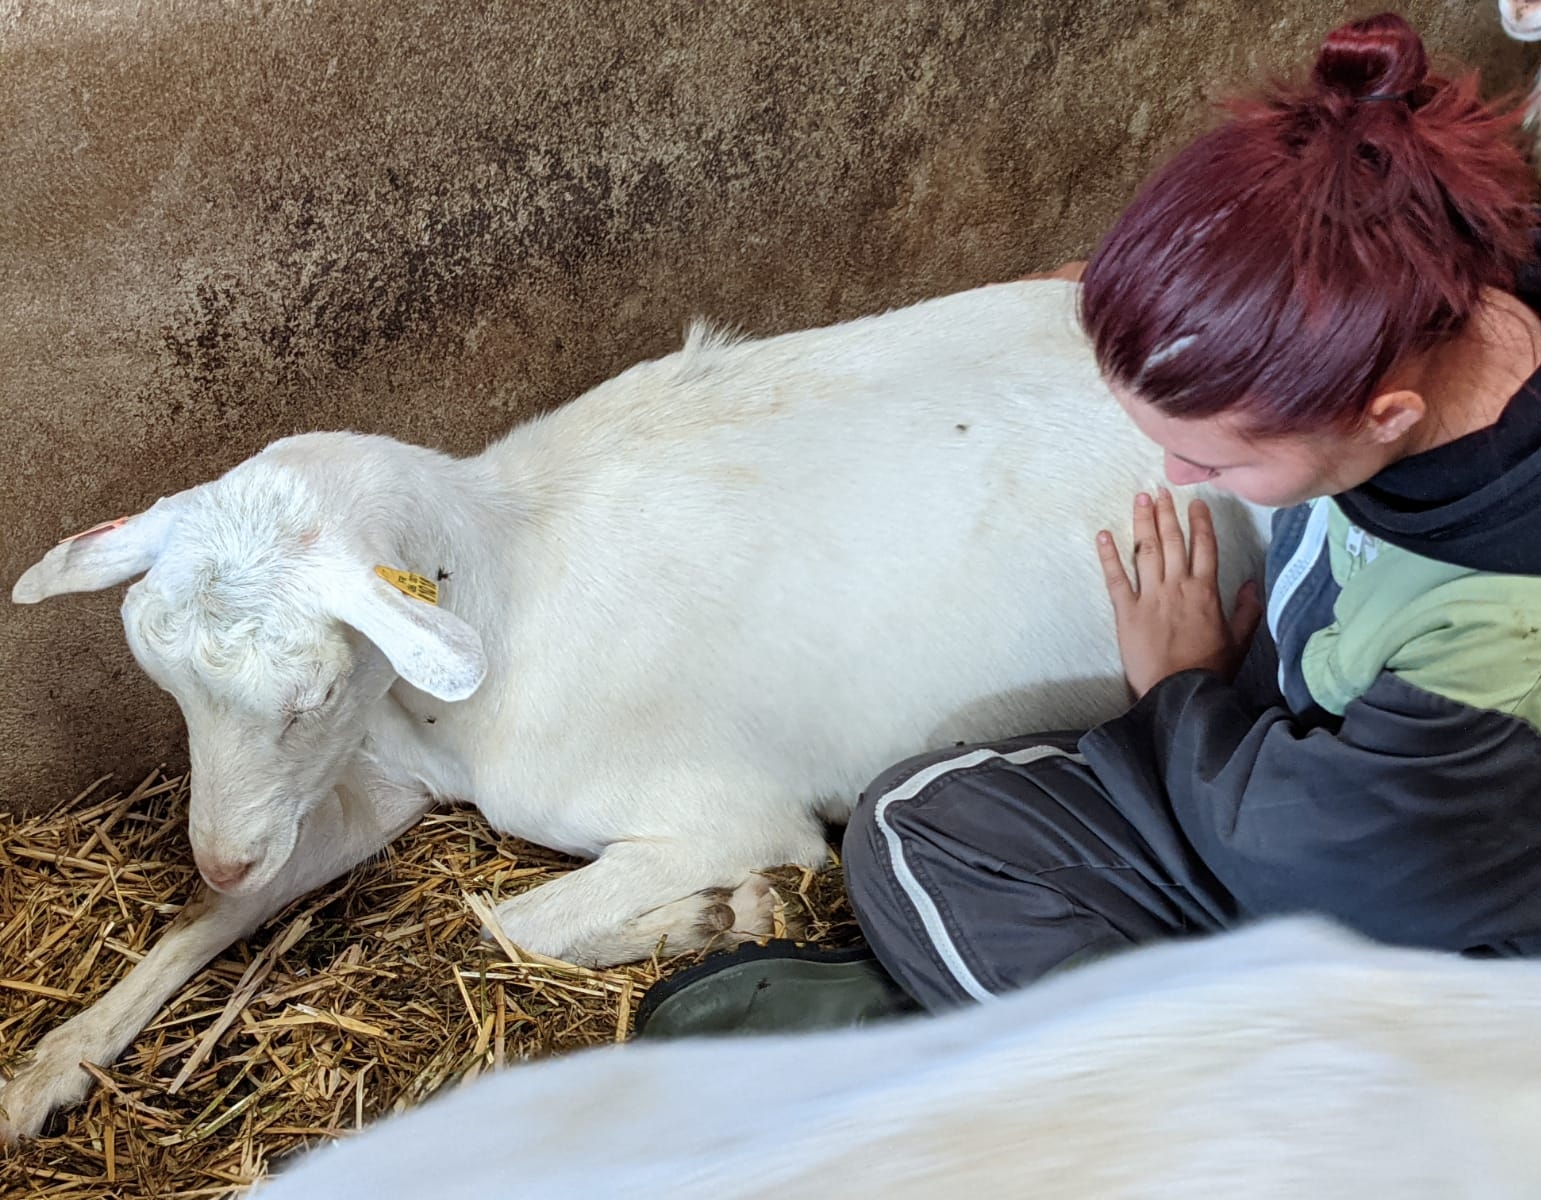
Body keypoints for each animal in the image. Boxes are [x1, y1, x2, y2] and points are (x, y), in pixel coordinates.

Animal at [4, 279, 1266, 1141]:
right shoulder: (380, 776)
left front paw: (725, 916)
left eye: (309, 692)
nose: (217, 850)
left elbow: (504, 922)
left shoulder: (730, 811)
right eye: (163, 679)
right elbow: (224, 913)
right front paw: (49, 1067)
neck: (508, 585)